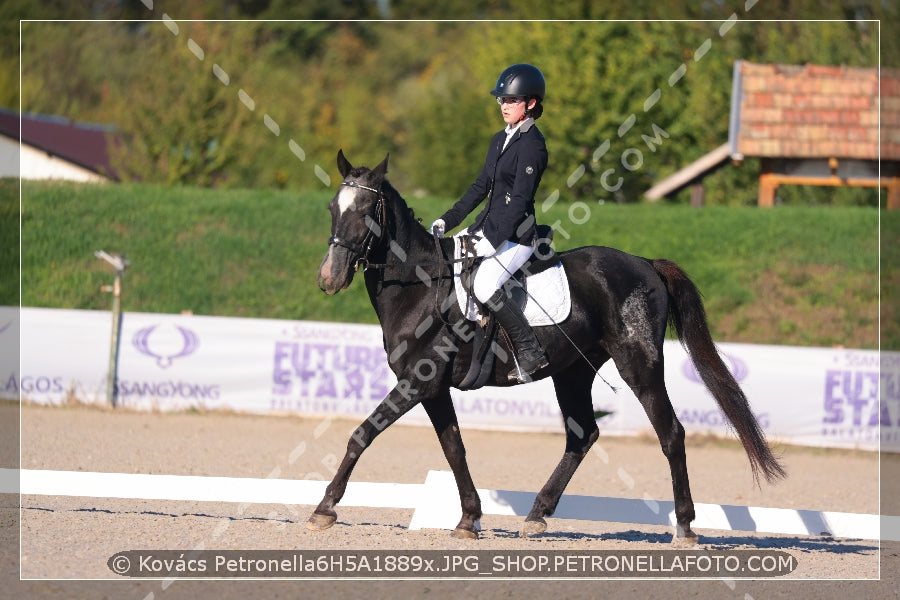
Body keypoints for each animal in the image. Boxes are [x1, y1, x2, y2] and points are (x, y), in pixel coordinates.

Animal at [312, 151, 780, 544]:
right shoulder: (433, 389)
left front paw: (325, 507)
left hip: (640, 366)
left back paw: (684, 527)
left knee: (671, 433)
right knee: (583, 435)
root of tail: (646, 263)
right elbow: (454, 449)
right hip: (573, 372)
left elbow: (363, 432)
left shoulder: (417, 383)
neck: (421, 287)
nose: (329, 279)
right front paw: (469, 518)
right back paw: (537, 514)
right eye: (333, 210)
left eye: (367, 213)